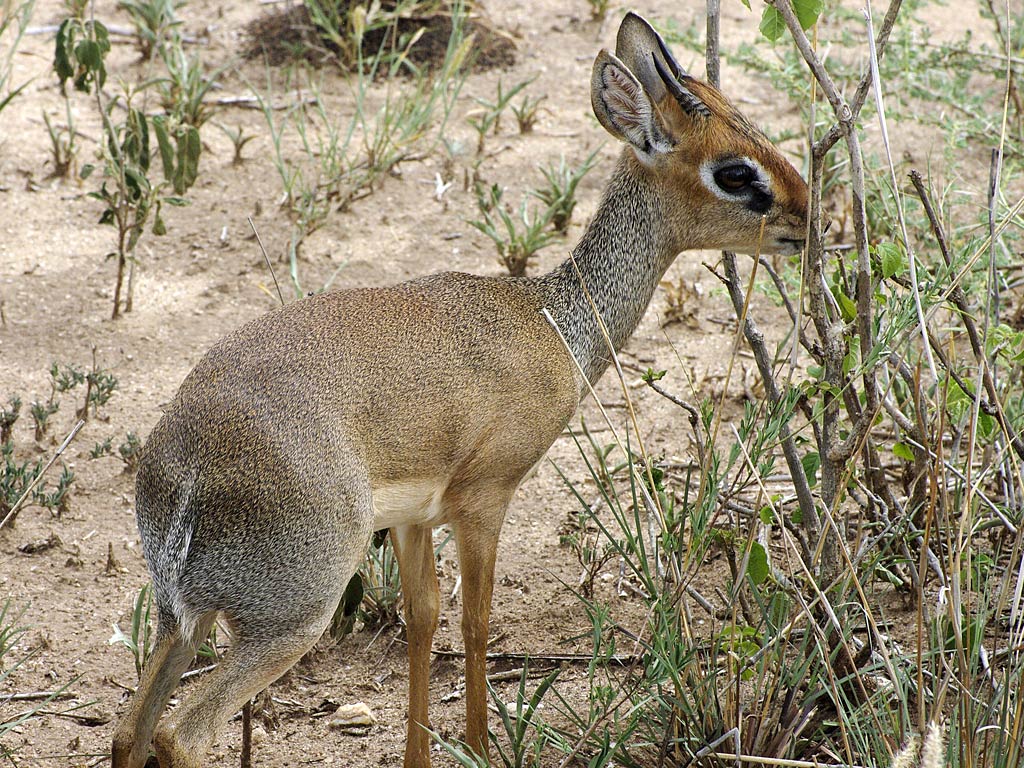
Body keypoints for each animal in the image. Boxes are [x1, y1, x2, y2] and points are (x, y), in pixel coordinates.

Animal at [105, 12, 806, 768]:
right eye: (735, 170)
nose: (811, 217)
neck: (553, 319)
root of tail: (186, 469)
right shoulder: (485, 500)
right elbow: (476, 621)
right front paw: (479, 745)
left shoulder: (413, 518)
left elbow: (424, 617)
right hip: (289, 618)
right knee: (179, 733)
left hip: (184, 619)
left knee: (129, 730)